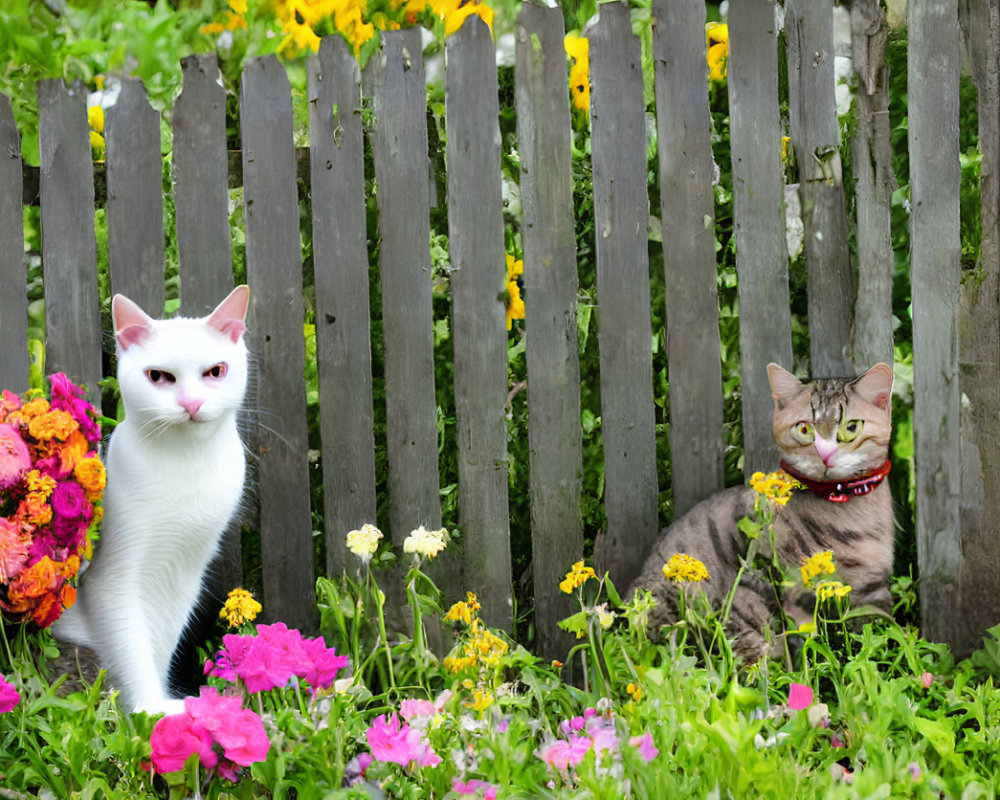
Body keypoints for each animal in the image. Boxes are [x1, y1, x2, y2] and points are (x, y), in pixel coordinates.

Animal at [52, 286, 252, 712]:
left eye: (216, 372)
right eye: (159, 376)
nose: (191, 404)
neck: (186, 463)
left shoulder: (184, 574)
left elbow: (160, 642)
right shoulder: (115, 578)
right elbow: (131, 647)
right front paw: (152, 710)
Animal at [628, 364, 896, 664]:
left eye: (851, 428)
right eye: (804, 429)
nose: (825, 455)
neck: (843, 507)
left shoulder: (872, 590)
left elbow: (873, 641)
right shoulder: (772, 583)